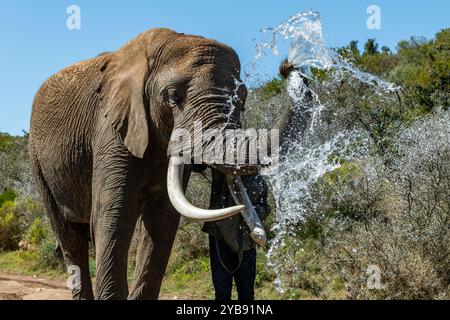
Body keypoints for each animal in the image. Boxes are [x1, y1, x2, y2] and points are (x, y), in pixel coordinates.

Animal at [29, 28, 260, 300]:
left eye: (242, 102)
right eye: (172, 96)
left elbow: (162, 222)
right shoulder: (111, 128)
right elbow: (114, 217)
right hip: (39, 163)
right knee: (70, 239)